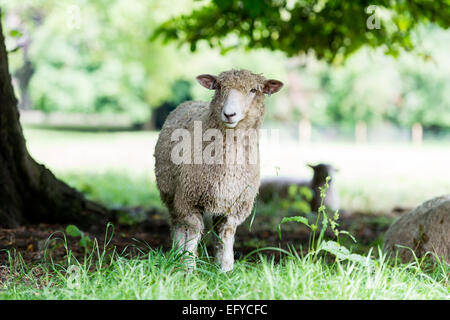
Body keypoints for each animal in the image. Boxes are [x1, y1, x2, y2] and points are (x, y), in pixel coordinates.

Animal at [153, 69, 284, 272]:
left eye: (254, 90)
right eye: (220, 87)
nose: (229, 114)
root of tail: (190, 101)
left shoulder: (236, 203)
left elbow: (227, 232)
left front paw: (226, 268)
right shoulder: (188, 197)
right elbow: (193, 230)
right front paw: (188, 267)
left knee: (215, 229)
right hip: (170, 192)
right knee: (177, 224)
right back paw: (176, 254)